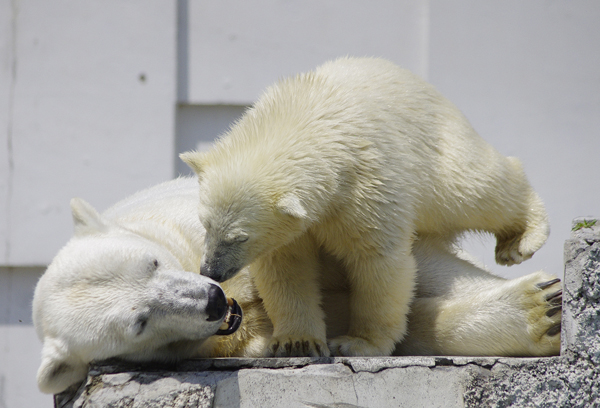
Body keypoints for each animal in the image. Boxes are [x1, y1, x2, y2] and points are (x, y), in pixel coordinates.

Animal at [180, 56, 552, 356]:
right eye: (205, 224)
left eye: (239, 237)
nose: (211, 271)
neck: (308, 116)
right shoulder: (298, 225)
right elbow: (286, 268)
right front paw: (297, 342)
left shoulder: (366, 185)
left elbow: (377, 261)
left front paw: (359, 342)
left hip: (438, 156)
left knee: (472, 188)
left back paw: (521, 239)